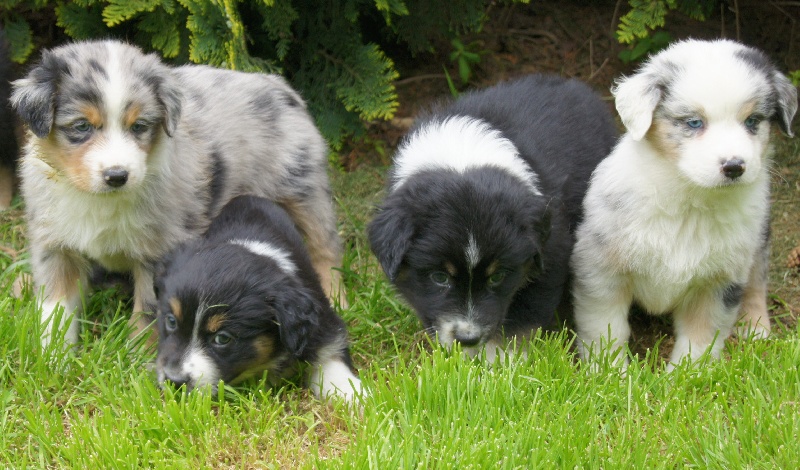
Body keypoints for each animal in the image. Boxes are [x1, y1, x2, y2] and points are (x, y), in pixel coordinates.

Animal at [11, 40, 344, 348]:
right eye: (81, 126)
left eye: (139, 127)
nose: (117, 176)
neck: (100, 200)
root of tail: (279, 85)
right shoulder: (55, 246)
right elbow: (55, 309)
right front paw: (54, 356)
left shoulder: (159, 248)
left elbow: (147, 310)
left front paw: (137, 355)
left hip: (302, 186)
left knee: (325, 246)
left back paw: (336, 296)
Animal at [156, 195, 362, 400]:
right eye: (171, 321)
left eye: (222, 338)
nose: (174, 381)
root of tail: (249, 196)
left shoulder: (323, 323)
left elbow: (331, 358)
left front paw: (354, 395)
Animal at [368, 74, 620, 360]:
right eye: (439, 277)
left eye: (497, 277)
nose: (468, 338)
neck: (461, 154)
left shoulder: (552, 253)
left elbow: (522, 320)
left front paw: (501, 362)